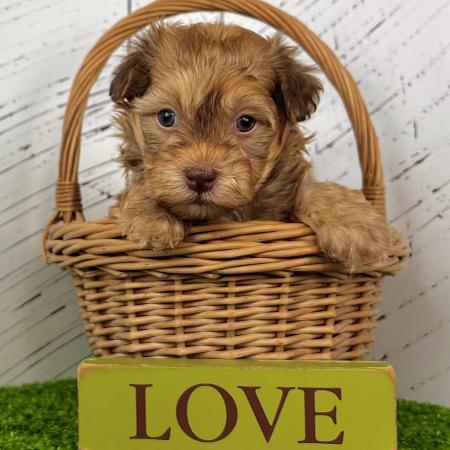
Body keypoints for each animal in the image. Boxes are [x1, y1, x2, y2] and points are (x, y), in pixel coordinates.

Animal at [110, 23, 402, 268]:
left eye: (246, 122)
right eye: (166, 117)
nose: (200, 177)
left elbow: (315, 189)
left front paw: (357, 229)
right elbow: (142, 185)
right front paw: (153, 216)